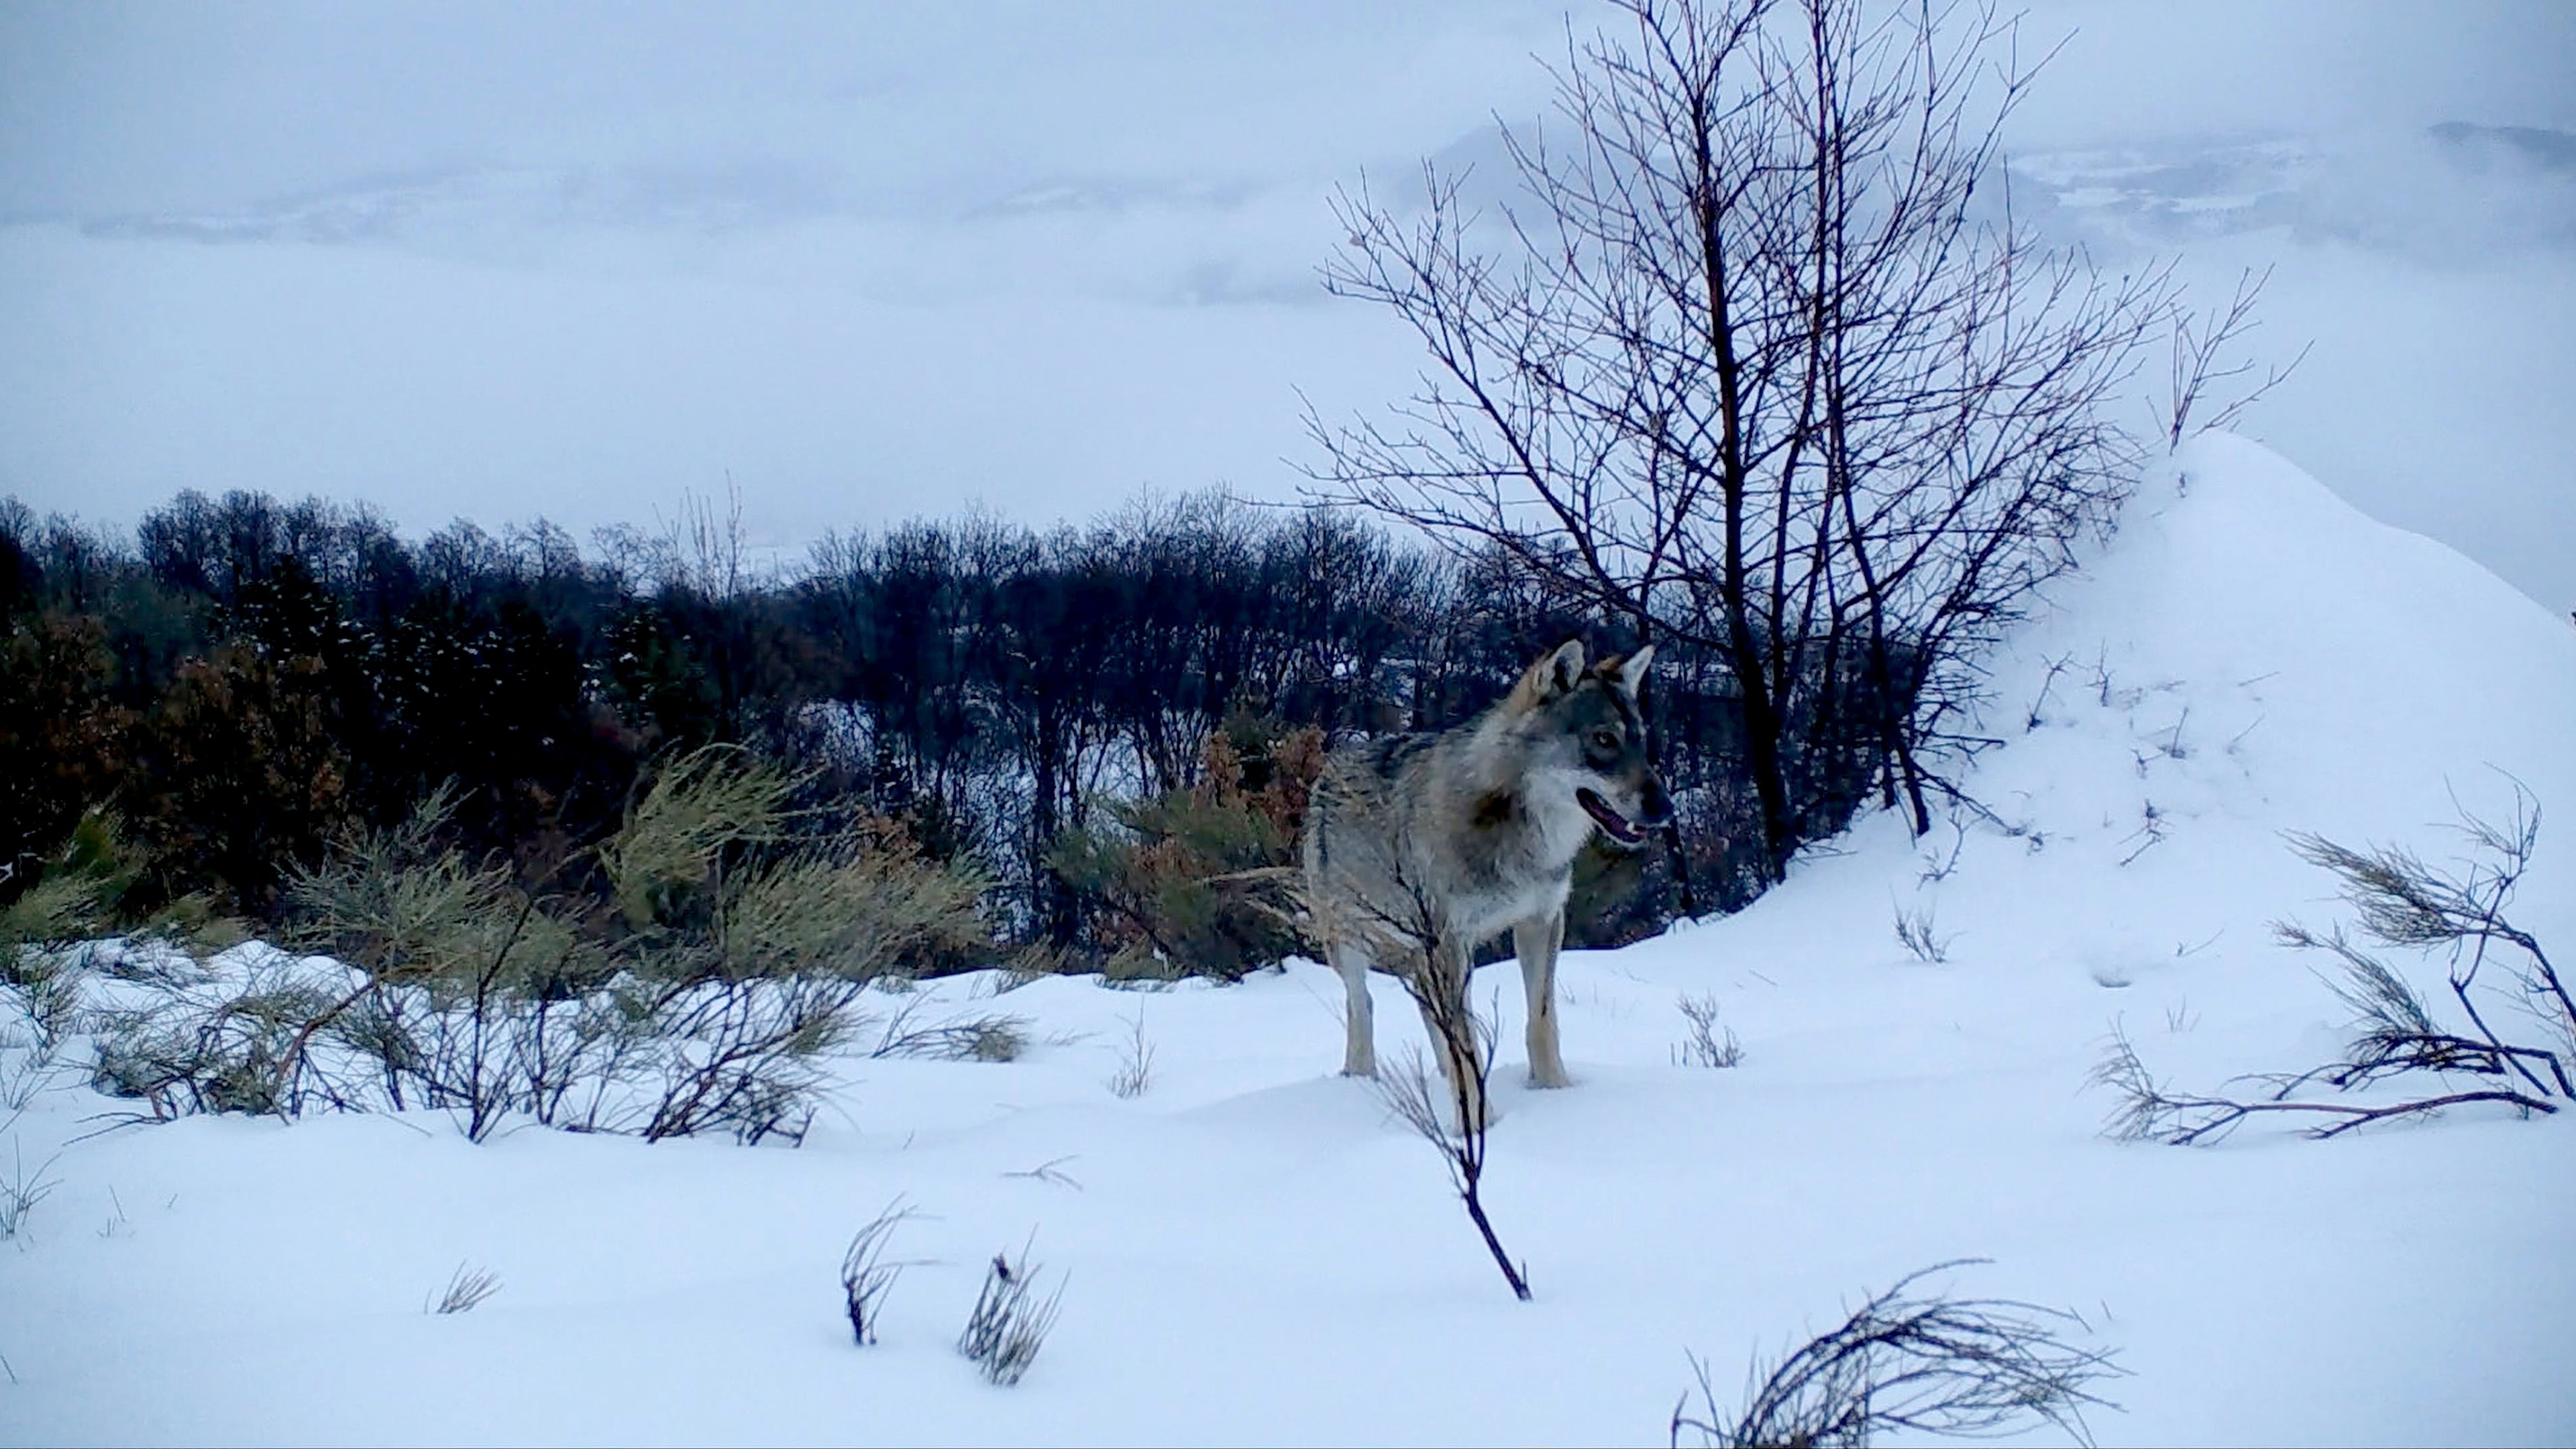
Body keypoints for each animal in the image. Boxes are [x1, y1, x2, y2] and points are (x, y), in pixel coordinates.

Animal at [1308, 634, 1669, 1119]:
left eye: (1641, 742)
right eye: (1604, 739)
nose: (1667, 809)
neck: (1522, 838)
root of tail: (1330, 767)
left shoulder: (1541, 922)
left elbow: (1541, 1022)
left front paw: (1556, 1093)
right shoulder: (1449, 944)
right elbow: (1468, 1046)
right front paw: (1477, 1123)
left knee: (1427, 1013)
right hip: (1350, 944)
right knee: (1361, 1004)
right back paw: (1359, 1081)